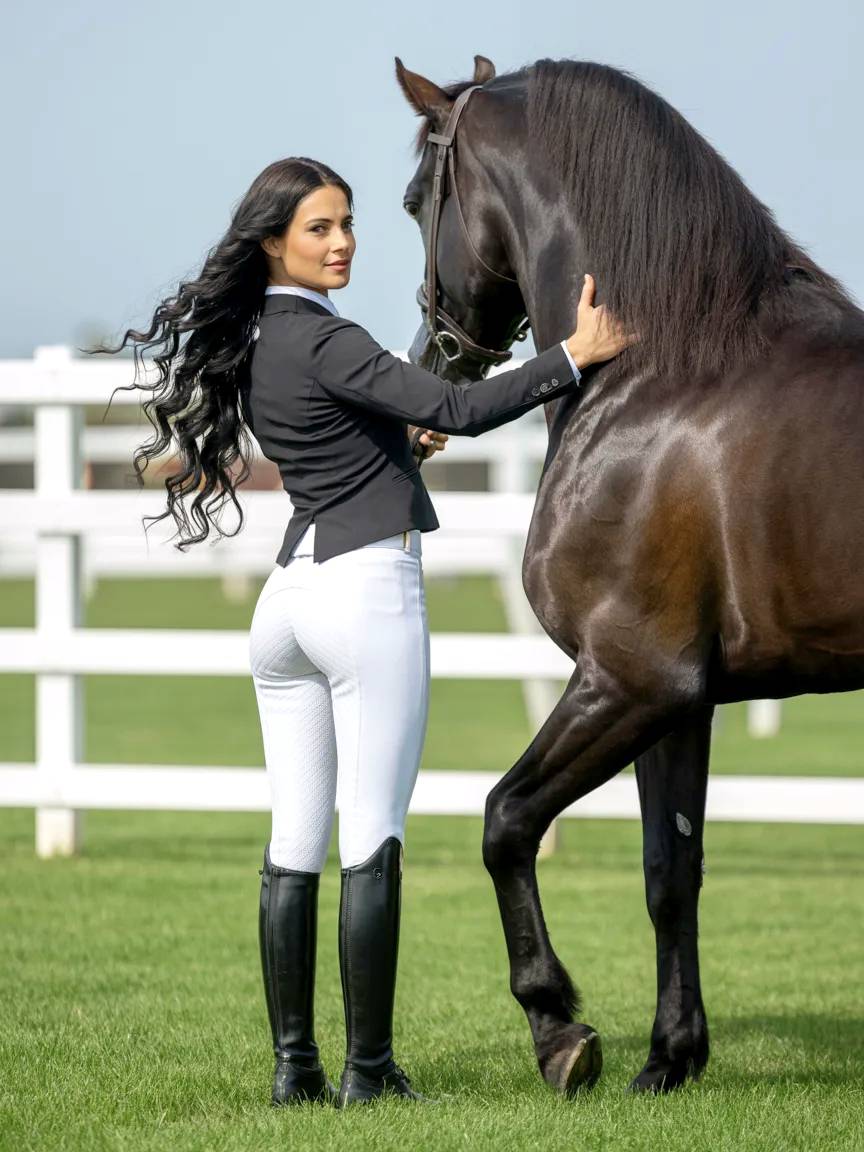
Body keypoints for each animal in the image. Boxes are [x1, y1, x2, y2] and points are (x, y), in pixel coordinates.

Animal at [394, 53, 864, 1095]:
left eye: (411, 203)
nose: (431, 363)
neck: (661, 366)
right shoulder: (681, 699)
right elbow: (668, 871)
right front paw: (671, 1056)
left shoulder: (631, 677)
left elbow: (504, 820)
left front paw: (556, 1027)